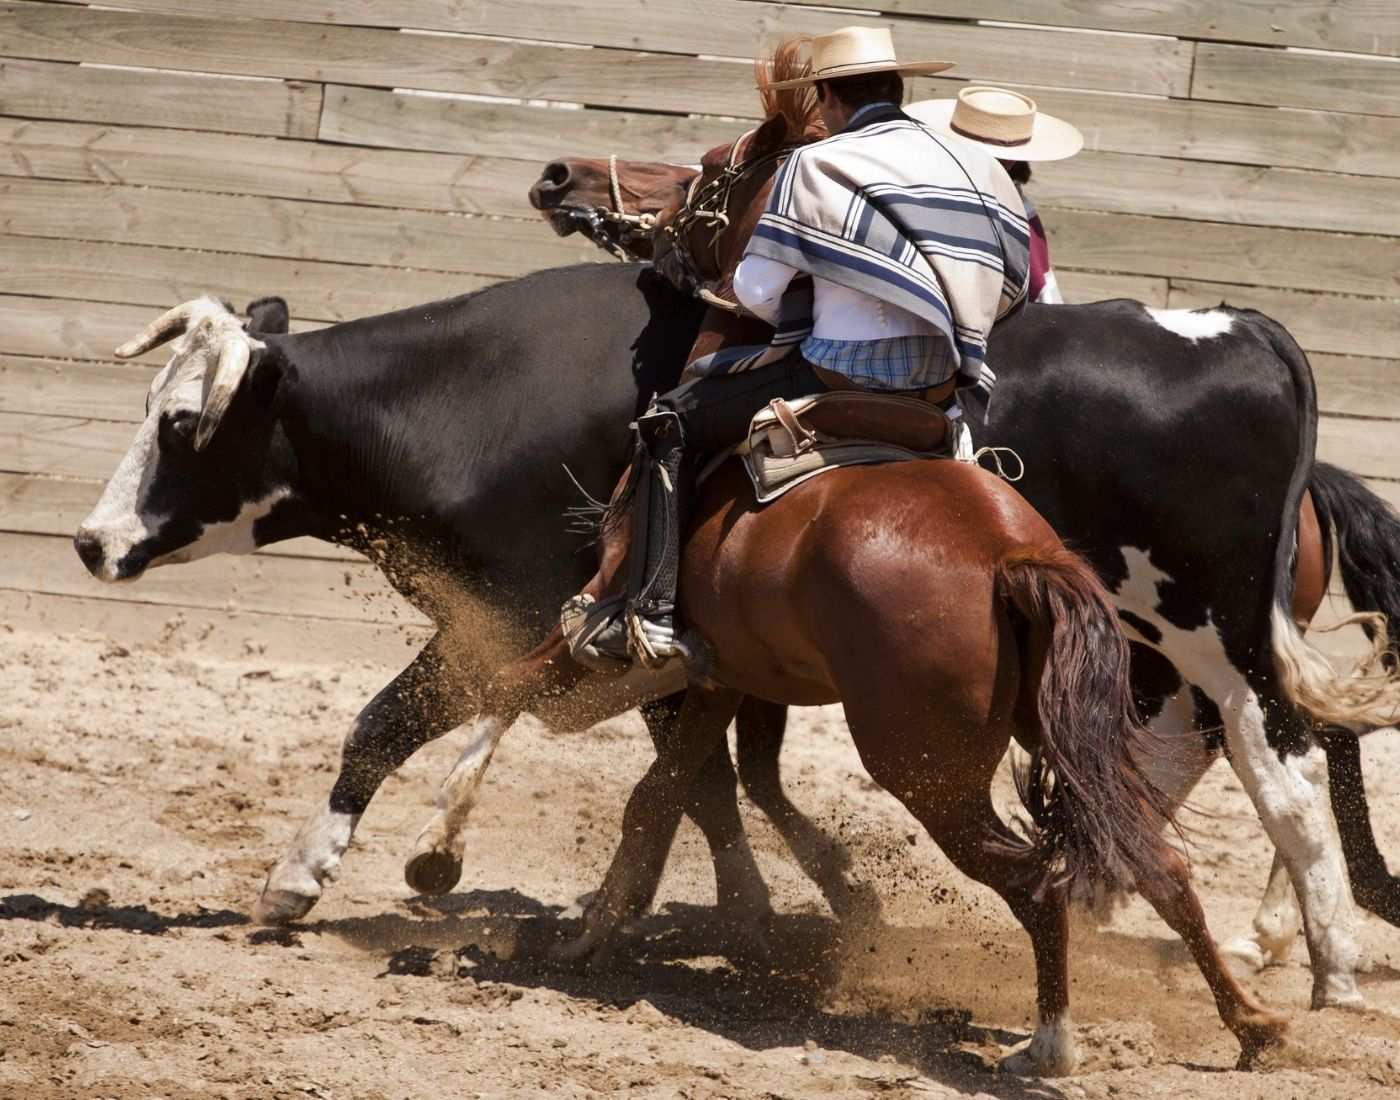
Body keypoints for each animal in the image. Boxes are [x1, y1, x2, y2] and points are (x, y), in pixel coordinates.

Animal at [76, 270, 1400, 1007]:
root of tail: (1239, 331)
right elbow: (702, 780)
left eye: (182, 422)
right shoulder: (674, 652)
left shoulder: (519, 619)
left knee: (1283, 771)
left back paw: (1325, 961)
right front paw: (765, 902)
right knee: (1183, 768)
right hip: (1152, 651)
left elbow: (384, 723)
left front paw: (304, 876)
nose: (92, 542)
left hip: (1213, 634)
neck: (475, 403)